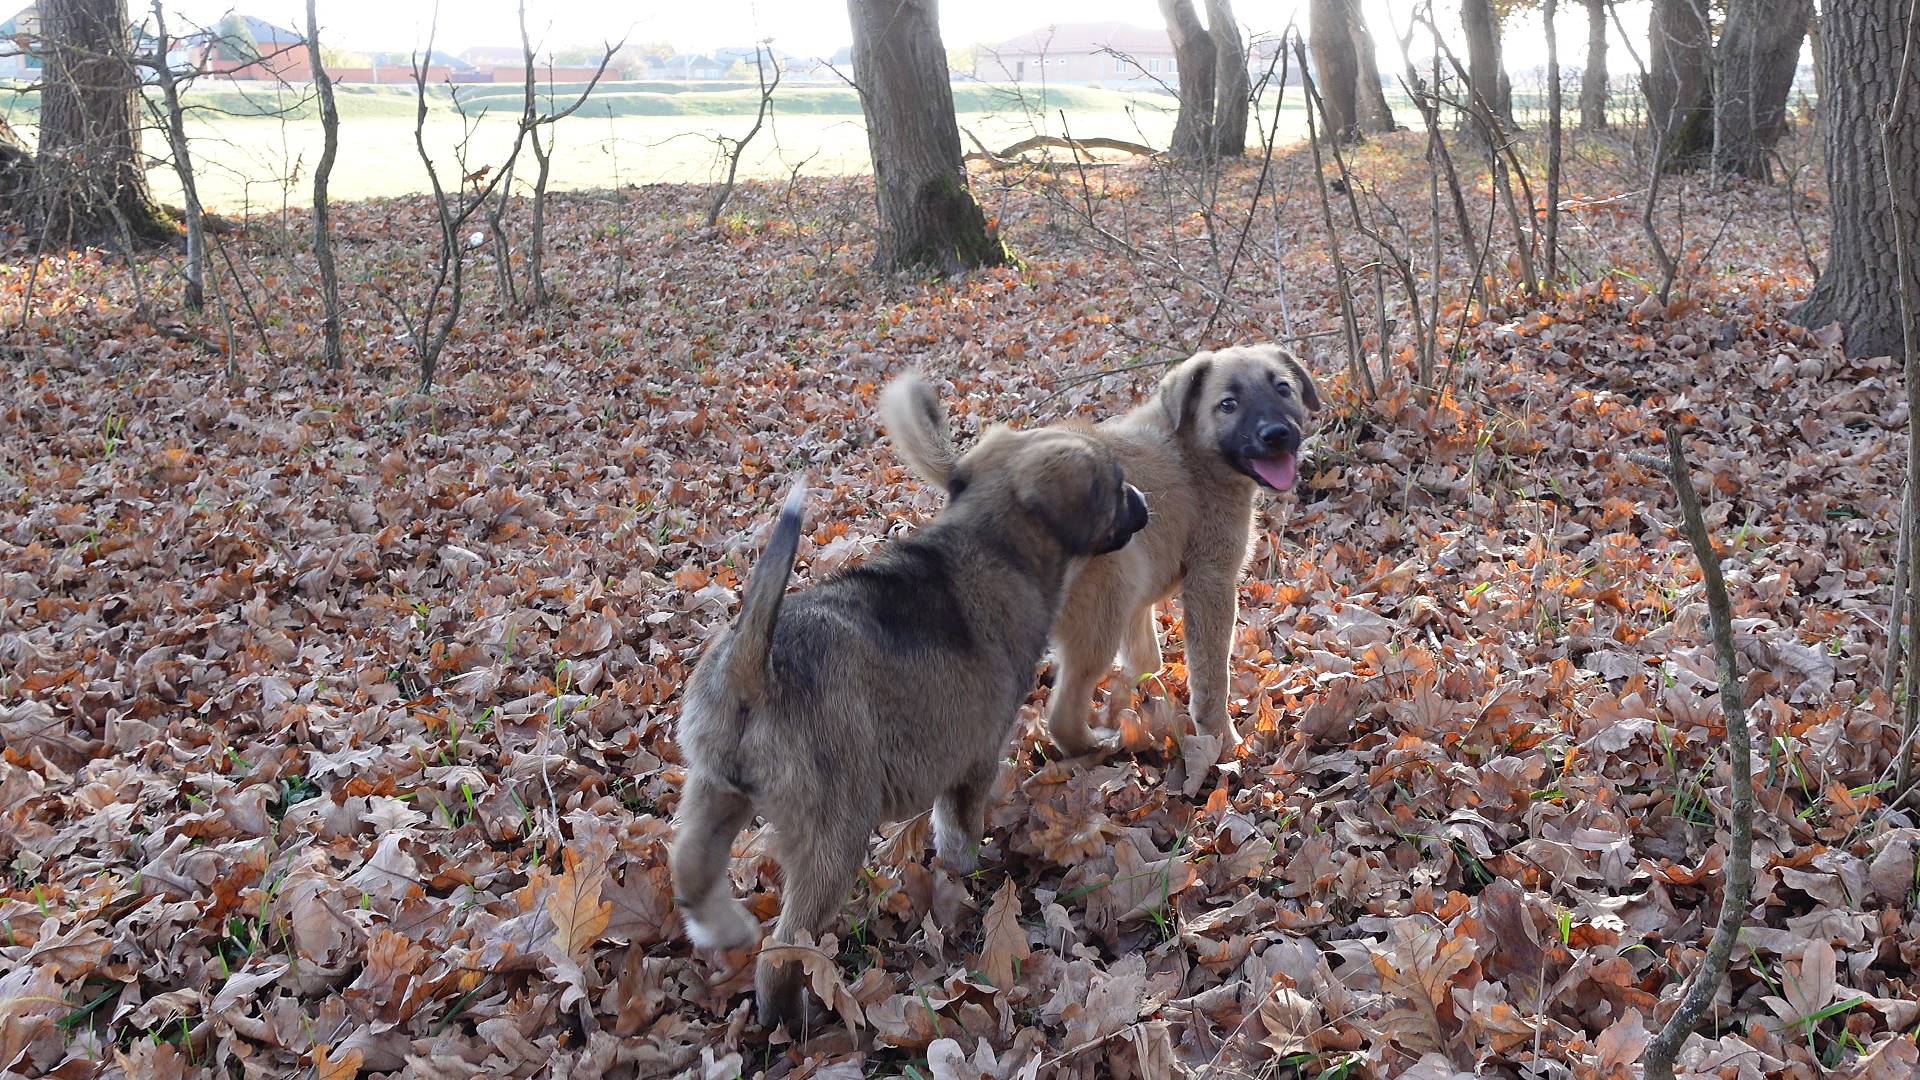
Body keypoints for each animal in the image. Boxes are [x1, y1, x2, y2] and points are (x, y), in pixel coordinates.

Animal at [668, 411, 1144, 1022]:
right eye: (1116, 485)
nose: (1145, 503)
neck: (994, 540)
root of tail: (755, 662)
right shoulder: (974, 760)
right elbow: (958, 832)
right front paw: (968, 877)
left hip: (713, 791)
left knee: (692, 869)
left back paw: (724, 930)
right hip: (836, 829)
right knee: (784, 945)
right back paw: (788, 1017)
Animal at [883, 340, 1320, 753]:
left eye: (1283, 388)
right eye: (1228, 405)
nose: (1276, 434)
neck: (1192, 453)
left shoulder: (1140, 599)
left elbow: (1146, 659)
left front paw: (1142, 700)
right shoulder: (1210, 582)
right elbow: (1211, 675)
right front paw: (1220, 740)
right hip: (1103, 609)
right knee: (1061, 715)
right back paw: (1096, 747)